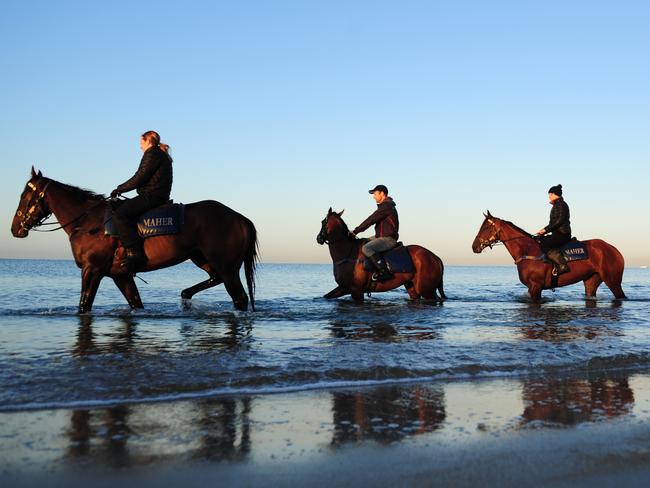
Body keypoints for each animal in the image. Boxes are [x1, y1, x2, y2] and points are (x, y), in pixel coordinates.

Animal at [11, 168, 256, 312]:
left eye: (24, 195)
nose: (15, 229)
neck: (89, 221)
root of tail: (239, 217)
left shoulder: (92, 270)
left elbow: (84, 306)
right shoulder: (121, 275)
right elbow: (135, 303)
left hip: (227, 267)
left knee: (239, 297)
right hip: (202, 258)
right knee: (215, 279)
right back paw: (186, 294)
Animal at [316, 210, 446, 302]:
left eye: (323, 222)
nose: (319, 238)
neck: (348, 253)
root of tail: (435, 257)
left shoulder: (356, 291)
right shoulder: (344, 288)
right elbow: (326, 296)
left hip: (427, 290)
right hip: (412, 287)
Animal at [470, 213, 624, 304]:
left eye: (485, 228)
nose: (474, 246)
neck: (527, 250)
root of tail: (614, 249)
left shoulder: (535, 287)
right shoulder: (531, 288)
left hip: (613, 281)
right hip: (591, 281)